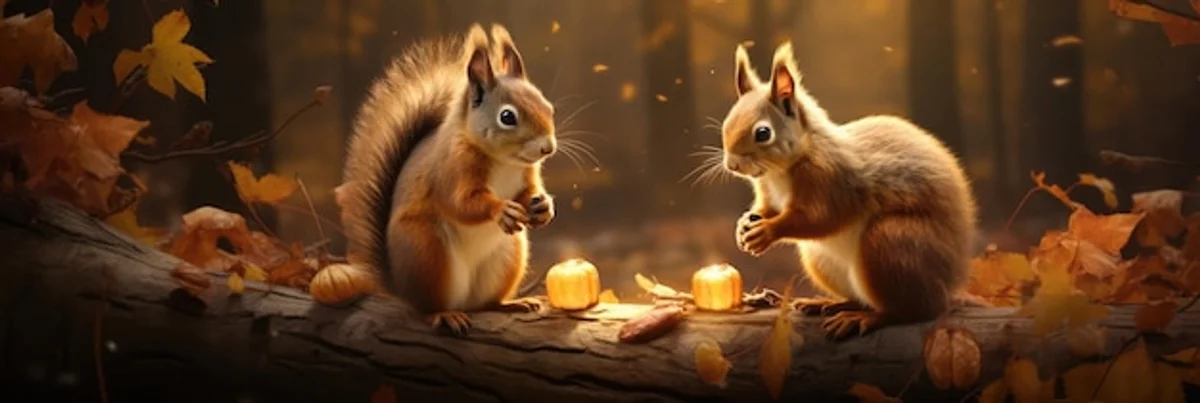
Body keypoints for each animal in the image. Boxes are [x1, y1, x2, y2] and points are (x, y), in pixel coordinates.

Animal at [334, 23, 557, 335]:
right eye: (507, 117)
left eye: (548, 106)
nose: (548, 148)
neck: (504, 160)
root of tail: (399, 287)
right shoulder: (452, 170)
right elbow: (460, 203)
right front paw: (501, 209)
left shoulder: (527, 175)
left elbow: (530, 191)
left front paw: (543, 206)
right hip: (427, 252)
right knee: (426, 307)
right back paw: (444, 315)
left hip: (509, 255)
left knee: (485, 303)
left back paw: (510, 303)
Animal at [719, 41, 979, 340]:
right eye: (727, 122)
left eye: (763, 133)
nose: (732, 165)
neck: (781, 170)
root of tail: (950, 284)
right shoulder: (767, 191)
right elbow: (767, 208)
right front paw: (745, 224)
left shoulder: (830, 180)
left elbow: (818, 218)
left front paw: (767, 231)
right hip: (821, 260)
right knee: (863, 298)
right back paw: (829, 303)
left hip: (892, 244)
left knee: (916, 311)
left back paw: (865, 318)